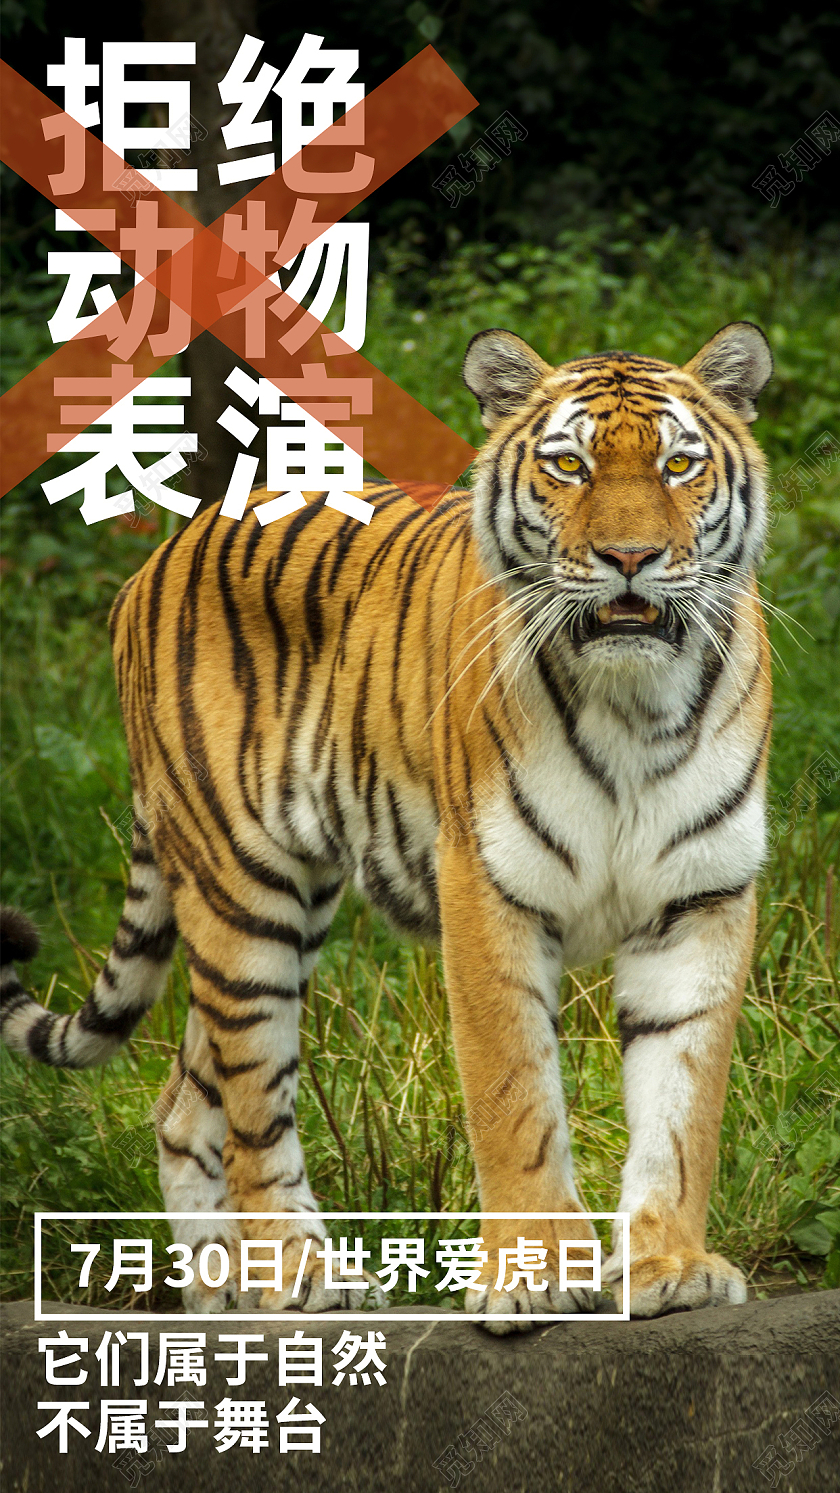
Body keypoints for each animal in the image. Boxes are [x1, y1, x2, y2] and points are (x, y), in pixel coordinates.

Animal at [1, 320, 773, 1333]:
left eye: (680, 464)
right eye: (567, 465)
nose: (632, 557)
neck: (635, 701)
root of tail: (167, 548)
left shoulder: (700, 897)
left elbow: (684, 1106)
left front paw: (670, 1266)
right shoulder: (487, 887)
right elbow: (514, 1094)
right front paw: (533, 1275)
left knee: (184, 1105)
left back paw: (219, 1289)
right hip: (242, 894)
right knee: (252, 1108)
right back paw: (298, 1274)